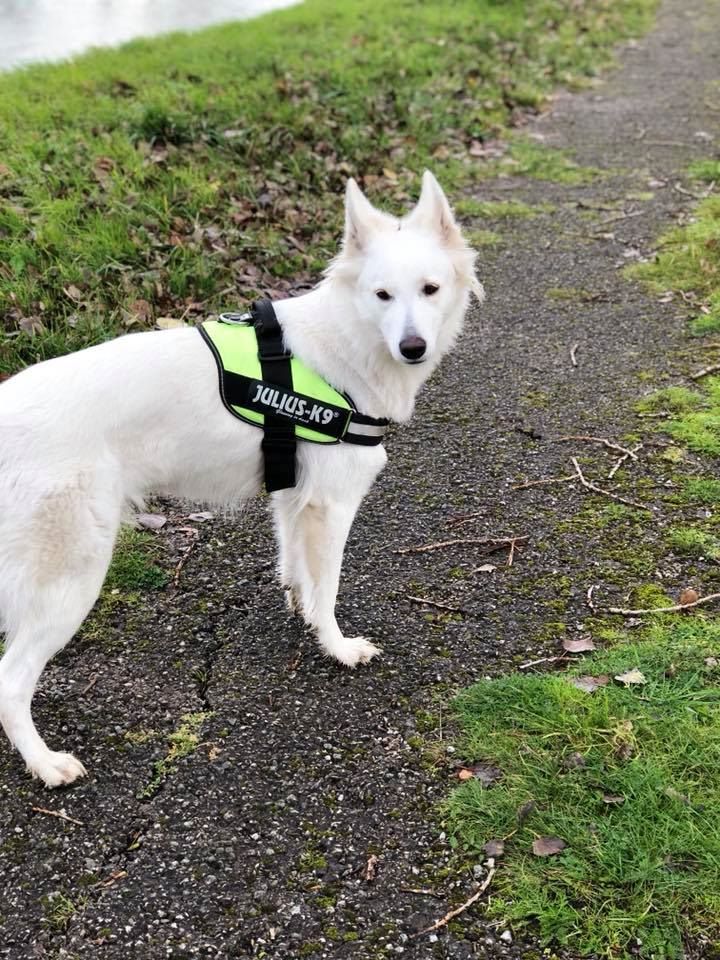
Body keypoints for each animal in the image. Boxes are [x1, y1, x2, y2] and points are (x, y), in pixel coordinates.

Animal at [0, 171, 483, 787]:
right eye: (383, 296)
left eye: (429, 289)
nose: (412, 347)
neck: (347, 342)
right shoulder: (331, 505)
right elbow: (328, 587)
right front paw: (335, 646)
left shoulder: (294, 500)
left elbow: (298, 573)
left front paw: (304, 615)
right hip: (71, 580)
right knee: (10, 682)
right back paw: (44, 763)